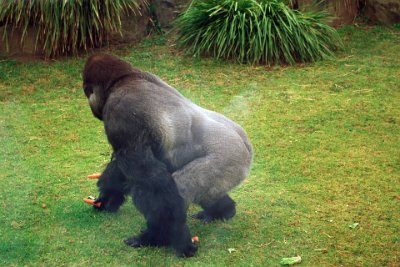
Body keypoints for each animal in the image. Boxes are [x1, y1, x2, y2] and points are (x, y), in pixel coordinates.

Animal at [83, 54, 253, 258]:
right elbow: (124, 170)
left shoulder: (120, 114)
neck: (123, 78)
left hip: (229, 158)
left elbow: (147, 177)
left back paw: (155, 236)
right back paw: (222, 210)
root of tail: (246, 144)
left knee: (176, 188)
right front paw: (107, 197)